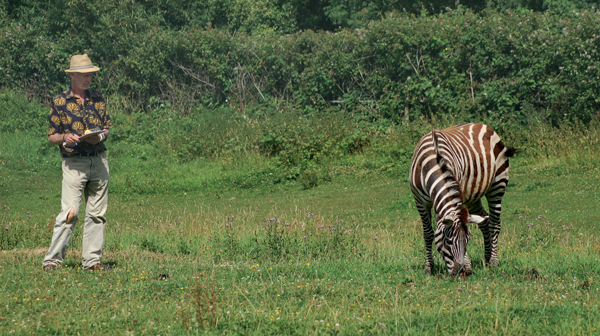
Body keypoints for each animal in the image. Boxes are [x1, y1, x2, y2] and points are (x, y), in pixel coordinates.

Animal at [410, 123, 516, 276]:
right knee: (485, 221)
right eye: (447, 241)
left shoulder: (456, 191)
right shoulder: (419, 201)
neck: (433, 164)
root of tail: (482, 124)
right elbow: (428, 233)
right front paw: (429, 267)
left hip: (498, 185)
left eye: (467, 241)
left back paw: (494, 261)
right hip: (472, 197)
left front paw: (467, 265)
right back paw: (487, 258)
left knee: (495, 223)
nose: (461, 272)